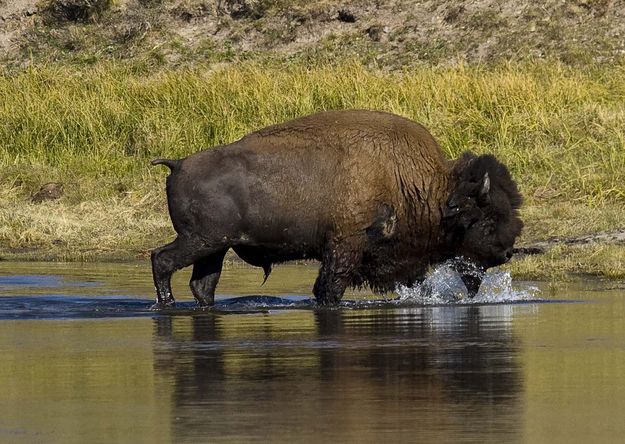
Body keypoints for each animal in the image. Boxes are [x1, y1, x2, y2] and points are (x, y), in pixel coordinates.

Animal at [151, 109, 520, 306]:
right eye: (488, 220)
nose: (505, 253)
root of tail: (178, 164)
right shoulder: (344, 247)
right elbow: (328, 289)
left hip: (215, 248)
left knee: (202, 284)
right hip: (200, 241)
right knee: (161, 260)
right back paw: (167, 305)